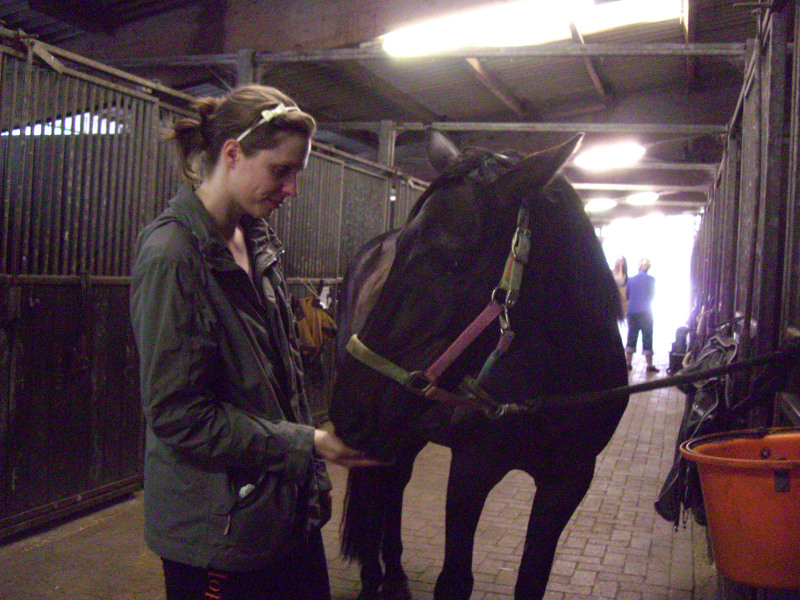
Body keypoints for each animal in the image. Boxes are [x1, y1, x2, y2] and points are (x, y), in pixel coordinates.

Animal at [328, 128, 630, 600]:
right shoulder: (473, 467)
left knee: (393, 481)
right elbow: (455, 581)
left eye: (453, 263)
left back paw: (393, 576)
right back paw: (375, 579)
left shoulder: (569, 482)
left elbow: (532, 581)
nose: (347, 411)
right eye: (401, 252)